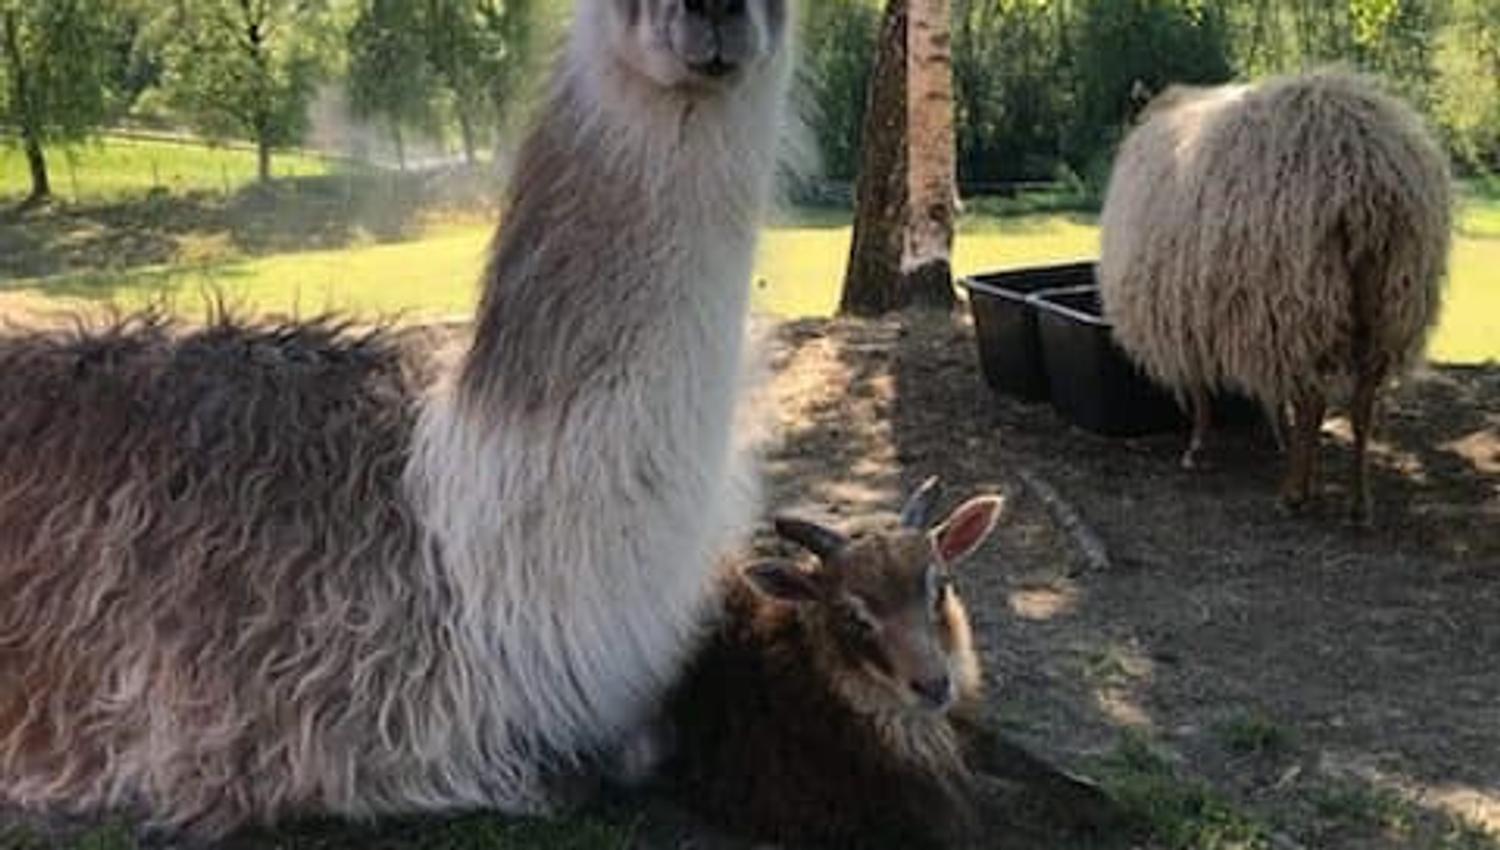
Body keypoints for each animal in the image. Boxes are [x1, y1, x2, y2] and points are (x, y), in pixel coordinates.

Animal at [1097, 69, 1452, 522]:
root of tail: (1365, 168)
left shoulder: (1189, 321)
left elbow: (1201, 393)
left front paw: (1197, 447)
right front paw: (1278, 437)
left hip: (1303, 300)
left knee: (1314, 401)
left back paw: (1295, 494)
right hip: (1388, 305)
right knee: (1362, 406)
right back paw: (1358, 502)